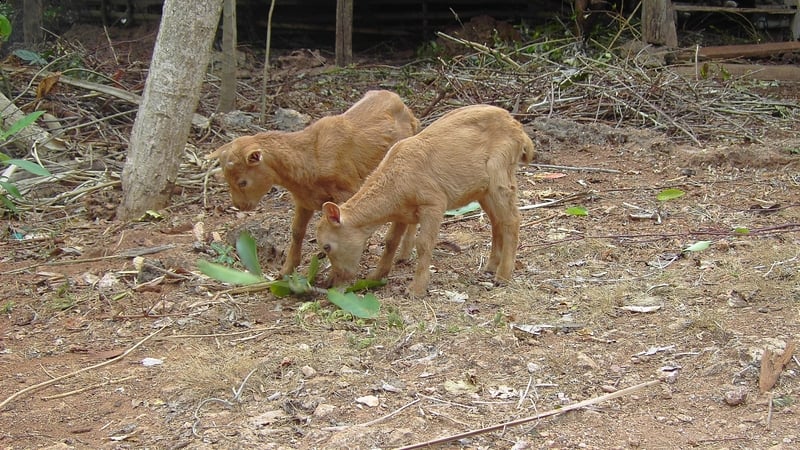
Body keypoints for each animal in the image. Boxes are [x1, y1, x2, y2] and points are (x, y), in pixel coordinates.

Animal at [207, 90, 420, 276]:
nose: (240, 205)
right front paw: (285, 271)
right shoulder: (304, 200)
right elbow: (297, 231)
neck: (310, 156)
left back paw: (403, 254)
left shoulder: (347, 190)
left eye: (242, 182)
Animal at [316, 104, 535, 297]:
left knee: (512, 220)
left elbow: (423, 244)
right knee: (497, 221)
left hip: (500, 173)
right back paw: (490, 267)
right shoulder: (402, 212)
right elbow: (390, 241)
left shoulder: (434, 203)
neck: (395, 181)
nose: (332, 282)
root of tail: (519, 130)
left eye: (326, 247)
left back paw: (503, 276)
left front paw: (416, 289)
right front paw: (375, 276)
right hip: (484, 190)